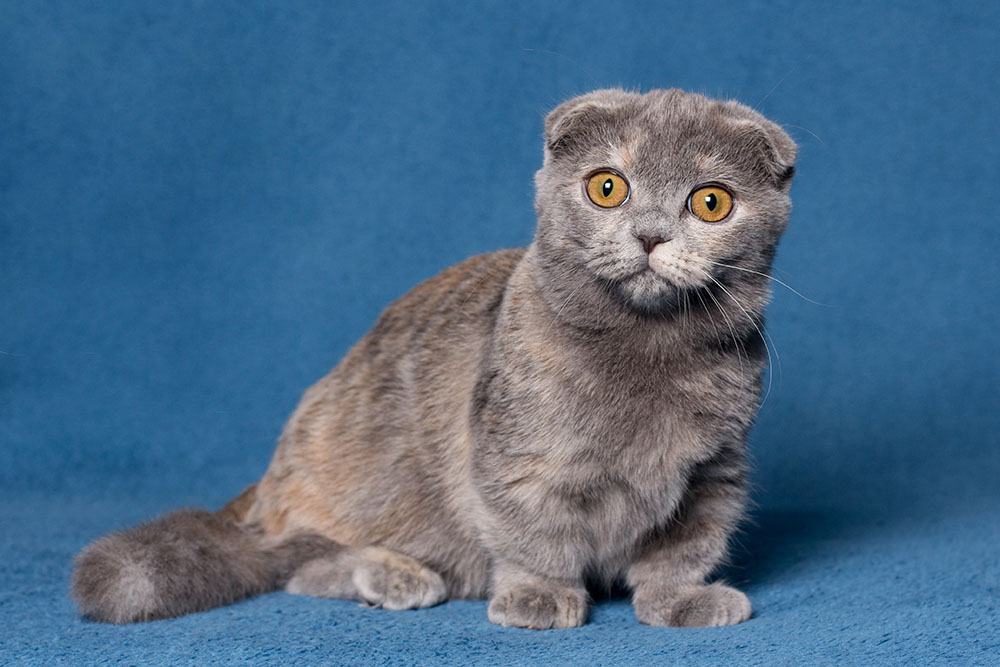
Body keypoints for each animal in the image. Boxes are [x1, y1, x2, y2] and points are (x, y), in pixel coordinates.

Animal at [72, 88, 796, 632]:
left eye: (710, 201)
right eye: (608, 188)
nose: (649, 235)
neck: (649, 351)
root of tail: (263, 488)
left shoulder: (712, 472)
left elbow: (682, 550)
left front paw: (682, 601)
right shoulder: (515, 462)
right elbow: (532, 535)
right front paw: (540, 596)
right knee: (297, 564)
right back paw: (397, 575)